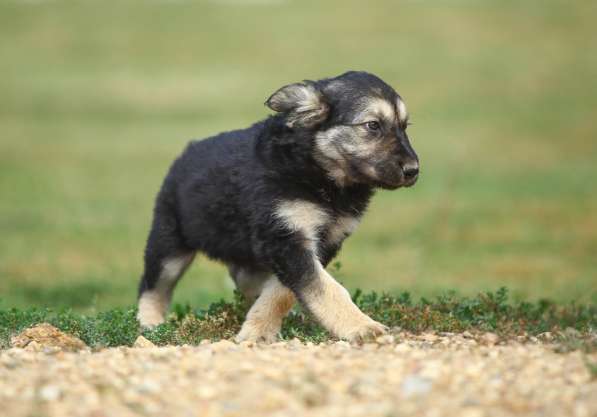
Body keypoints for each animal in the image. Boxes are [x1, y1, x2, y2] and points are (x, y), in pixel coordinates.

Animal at [137, 70, 420, 342]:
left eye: (404, 126)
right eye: (373, 125)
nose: (413, 171)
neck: (319, 173)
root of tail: (185, 153)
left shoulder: (323, 241)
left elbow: (282, 291)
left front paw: (259, 328)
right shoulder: (285, 237)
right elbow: (324, 288)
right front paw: (360, 326)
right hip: (169, 243)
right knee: (152, 285)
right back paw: (149, 323)